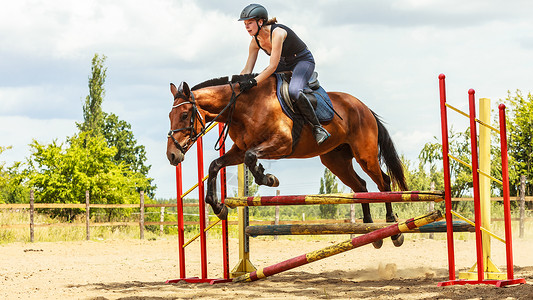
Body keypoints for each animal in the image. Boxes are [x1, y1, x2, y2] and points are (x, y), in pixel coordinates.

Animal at [166, 74, 408, 247]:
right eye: (170, 116)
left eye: (185, 115)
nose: (172, 155)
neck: (243, 109)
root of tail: (363, 107)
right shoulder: (238, 151)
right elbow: (215, 165)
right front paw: (219, 207)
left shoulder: (282, 143)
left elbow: (251, 157)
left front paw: (268, 178)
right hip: (336, 161)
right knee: (361, 187)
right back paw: (371, 230)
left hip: (365, 155)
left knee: (383, 182)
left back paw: (392, 228)